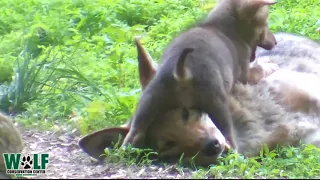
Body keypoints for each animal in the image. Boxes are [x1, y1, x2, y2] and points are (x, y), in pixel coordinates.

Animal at [122, 0, 278, 151]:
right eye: (265, 24)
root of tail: (182, 72)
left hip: (148, 102)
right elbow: (258, 69)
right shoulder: (245, 74)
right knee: (228, 136)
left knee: (133, 135)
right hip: (217, 106)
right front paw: (271, 65)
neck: (221, 27)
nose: (275, 42)